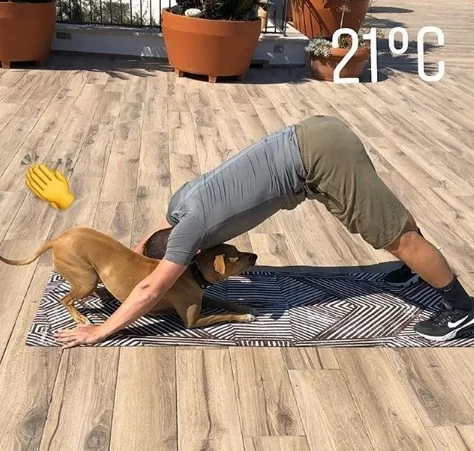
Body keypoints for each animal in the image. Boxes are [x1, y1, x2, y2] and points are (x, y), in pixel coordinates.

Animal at [0, 226, 258, 328]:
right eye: (237, 257)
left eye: (238, 251)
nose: (255, 255)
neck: (193, 272)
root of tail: (58, 239)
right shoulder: (192, 320)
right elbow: (223, 315)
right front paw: (244, 316)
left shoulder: (202, 297)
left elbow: (224, 302)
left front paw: (248, 308)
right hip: (85, 279)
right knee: (65, 299)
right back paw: (81, 318)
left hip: (90, 275)